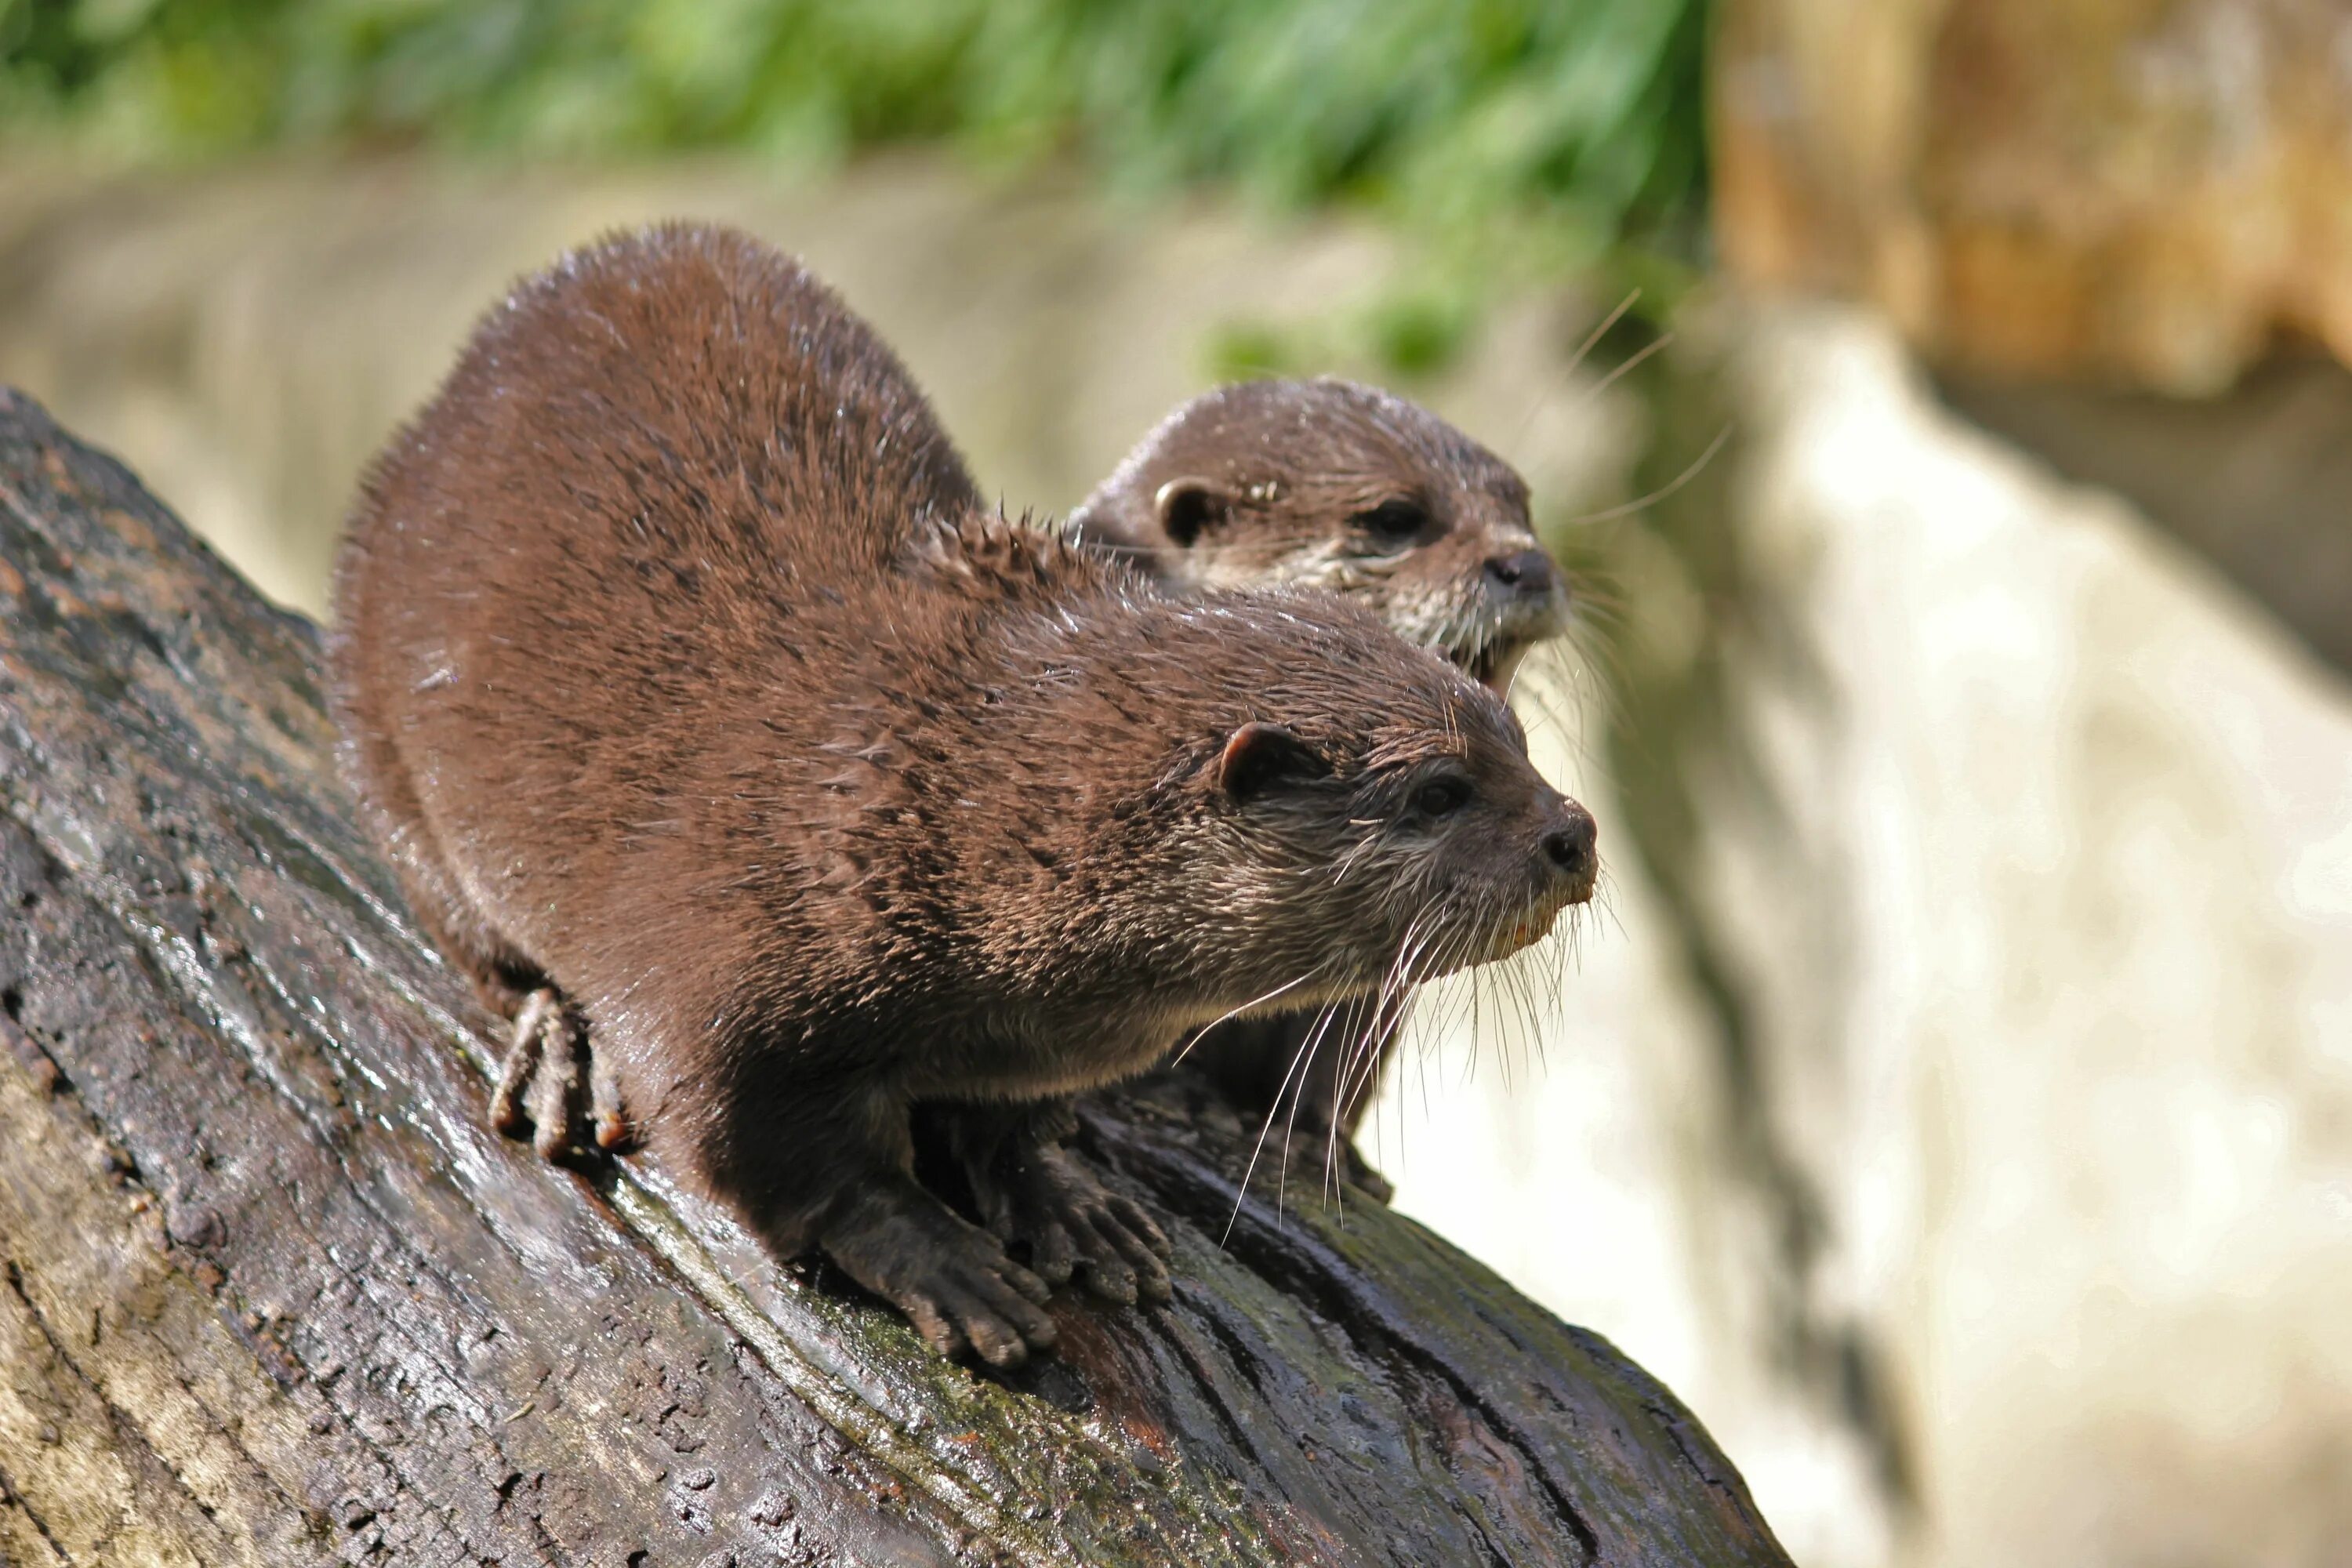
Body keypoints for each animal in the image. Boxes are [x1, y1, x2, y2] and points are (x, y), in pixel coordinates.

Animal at [332, 223, 1599, 1363]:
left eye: (1515, 740)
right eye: (1439, 789)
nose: (1575, 833)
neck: (940, 810)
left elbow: (1016, 1116)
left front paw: (1061, 1194)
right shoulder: (710, 969)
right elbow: (762, 1155)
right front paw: (936, 1254)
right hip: (379, 710)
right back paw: (558, 1049)